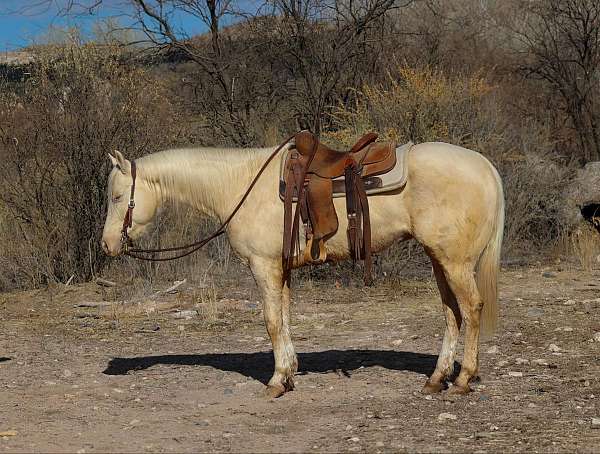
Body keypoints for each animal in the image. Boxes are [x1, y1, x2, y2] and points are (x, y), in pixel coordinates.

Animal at [101, 141, 504, 398]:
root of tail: (485, 166)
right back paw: (436, 379)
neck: (240, 185)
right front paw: (290, 372)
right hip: (440, 259)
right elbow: (285, 317)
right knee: (452, 313)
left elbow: (271, 321)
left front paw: (277, 381)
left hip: (454, 262)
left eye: (117, 197)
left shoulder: (263, 266)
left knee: (471, 309)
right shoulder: (281, 268)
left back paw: (462, 380)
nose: (107, 245)